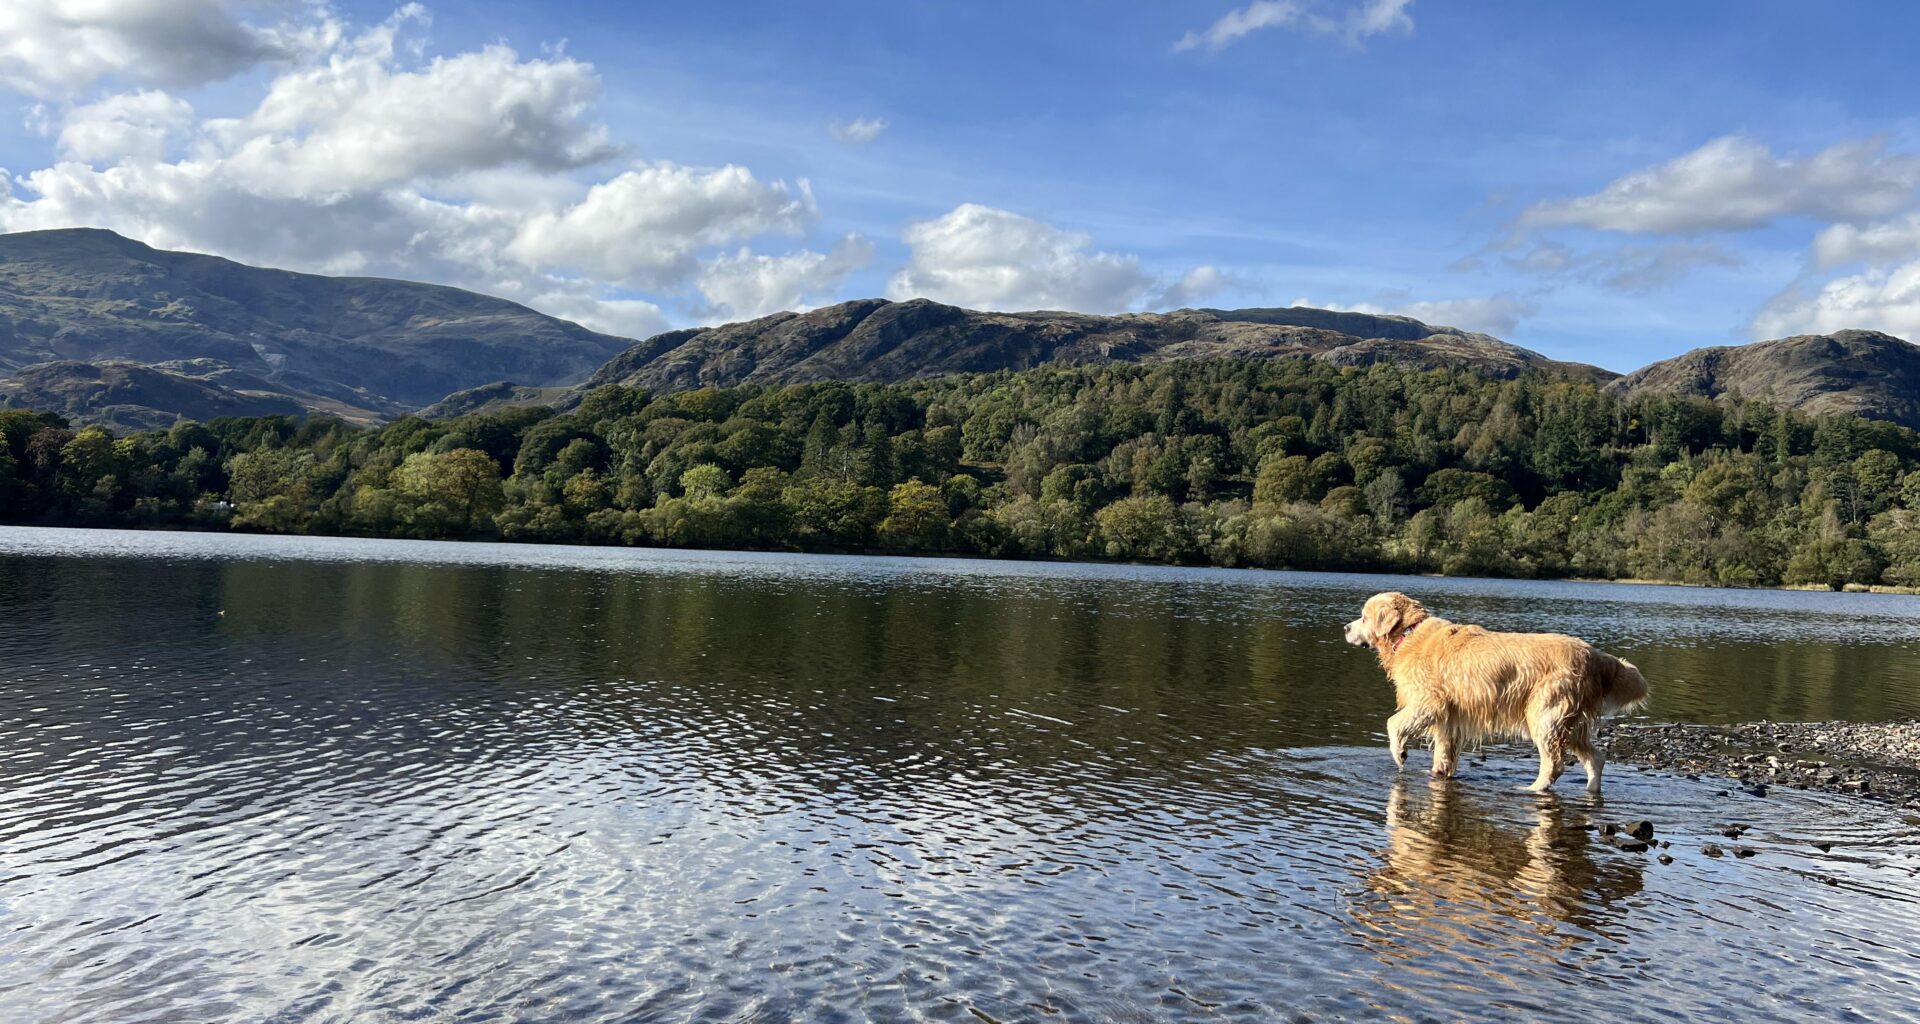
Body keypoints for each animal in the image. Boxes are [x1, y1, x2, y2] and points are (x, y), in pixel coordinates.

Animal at [1351, 591, 1651, 791]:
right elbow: (1444, 753)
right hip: (1573, 721)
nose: (1345, 627)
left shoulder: (1429, 701)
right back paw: (1591, 790)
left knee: (1555, 763)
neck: (1410, 633)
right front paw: (1438, 773)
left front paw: (1399, 753)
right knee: (1596, 758)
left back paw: (1532, 789)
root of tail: (1595, 655)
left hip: (1546, 714)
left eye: (1363, 617)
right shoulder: (1450, 719)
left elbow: (1393, 723)